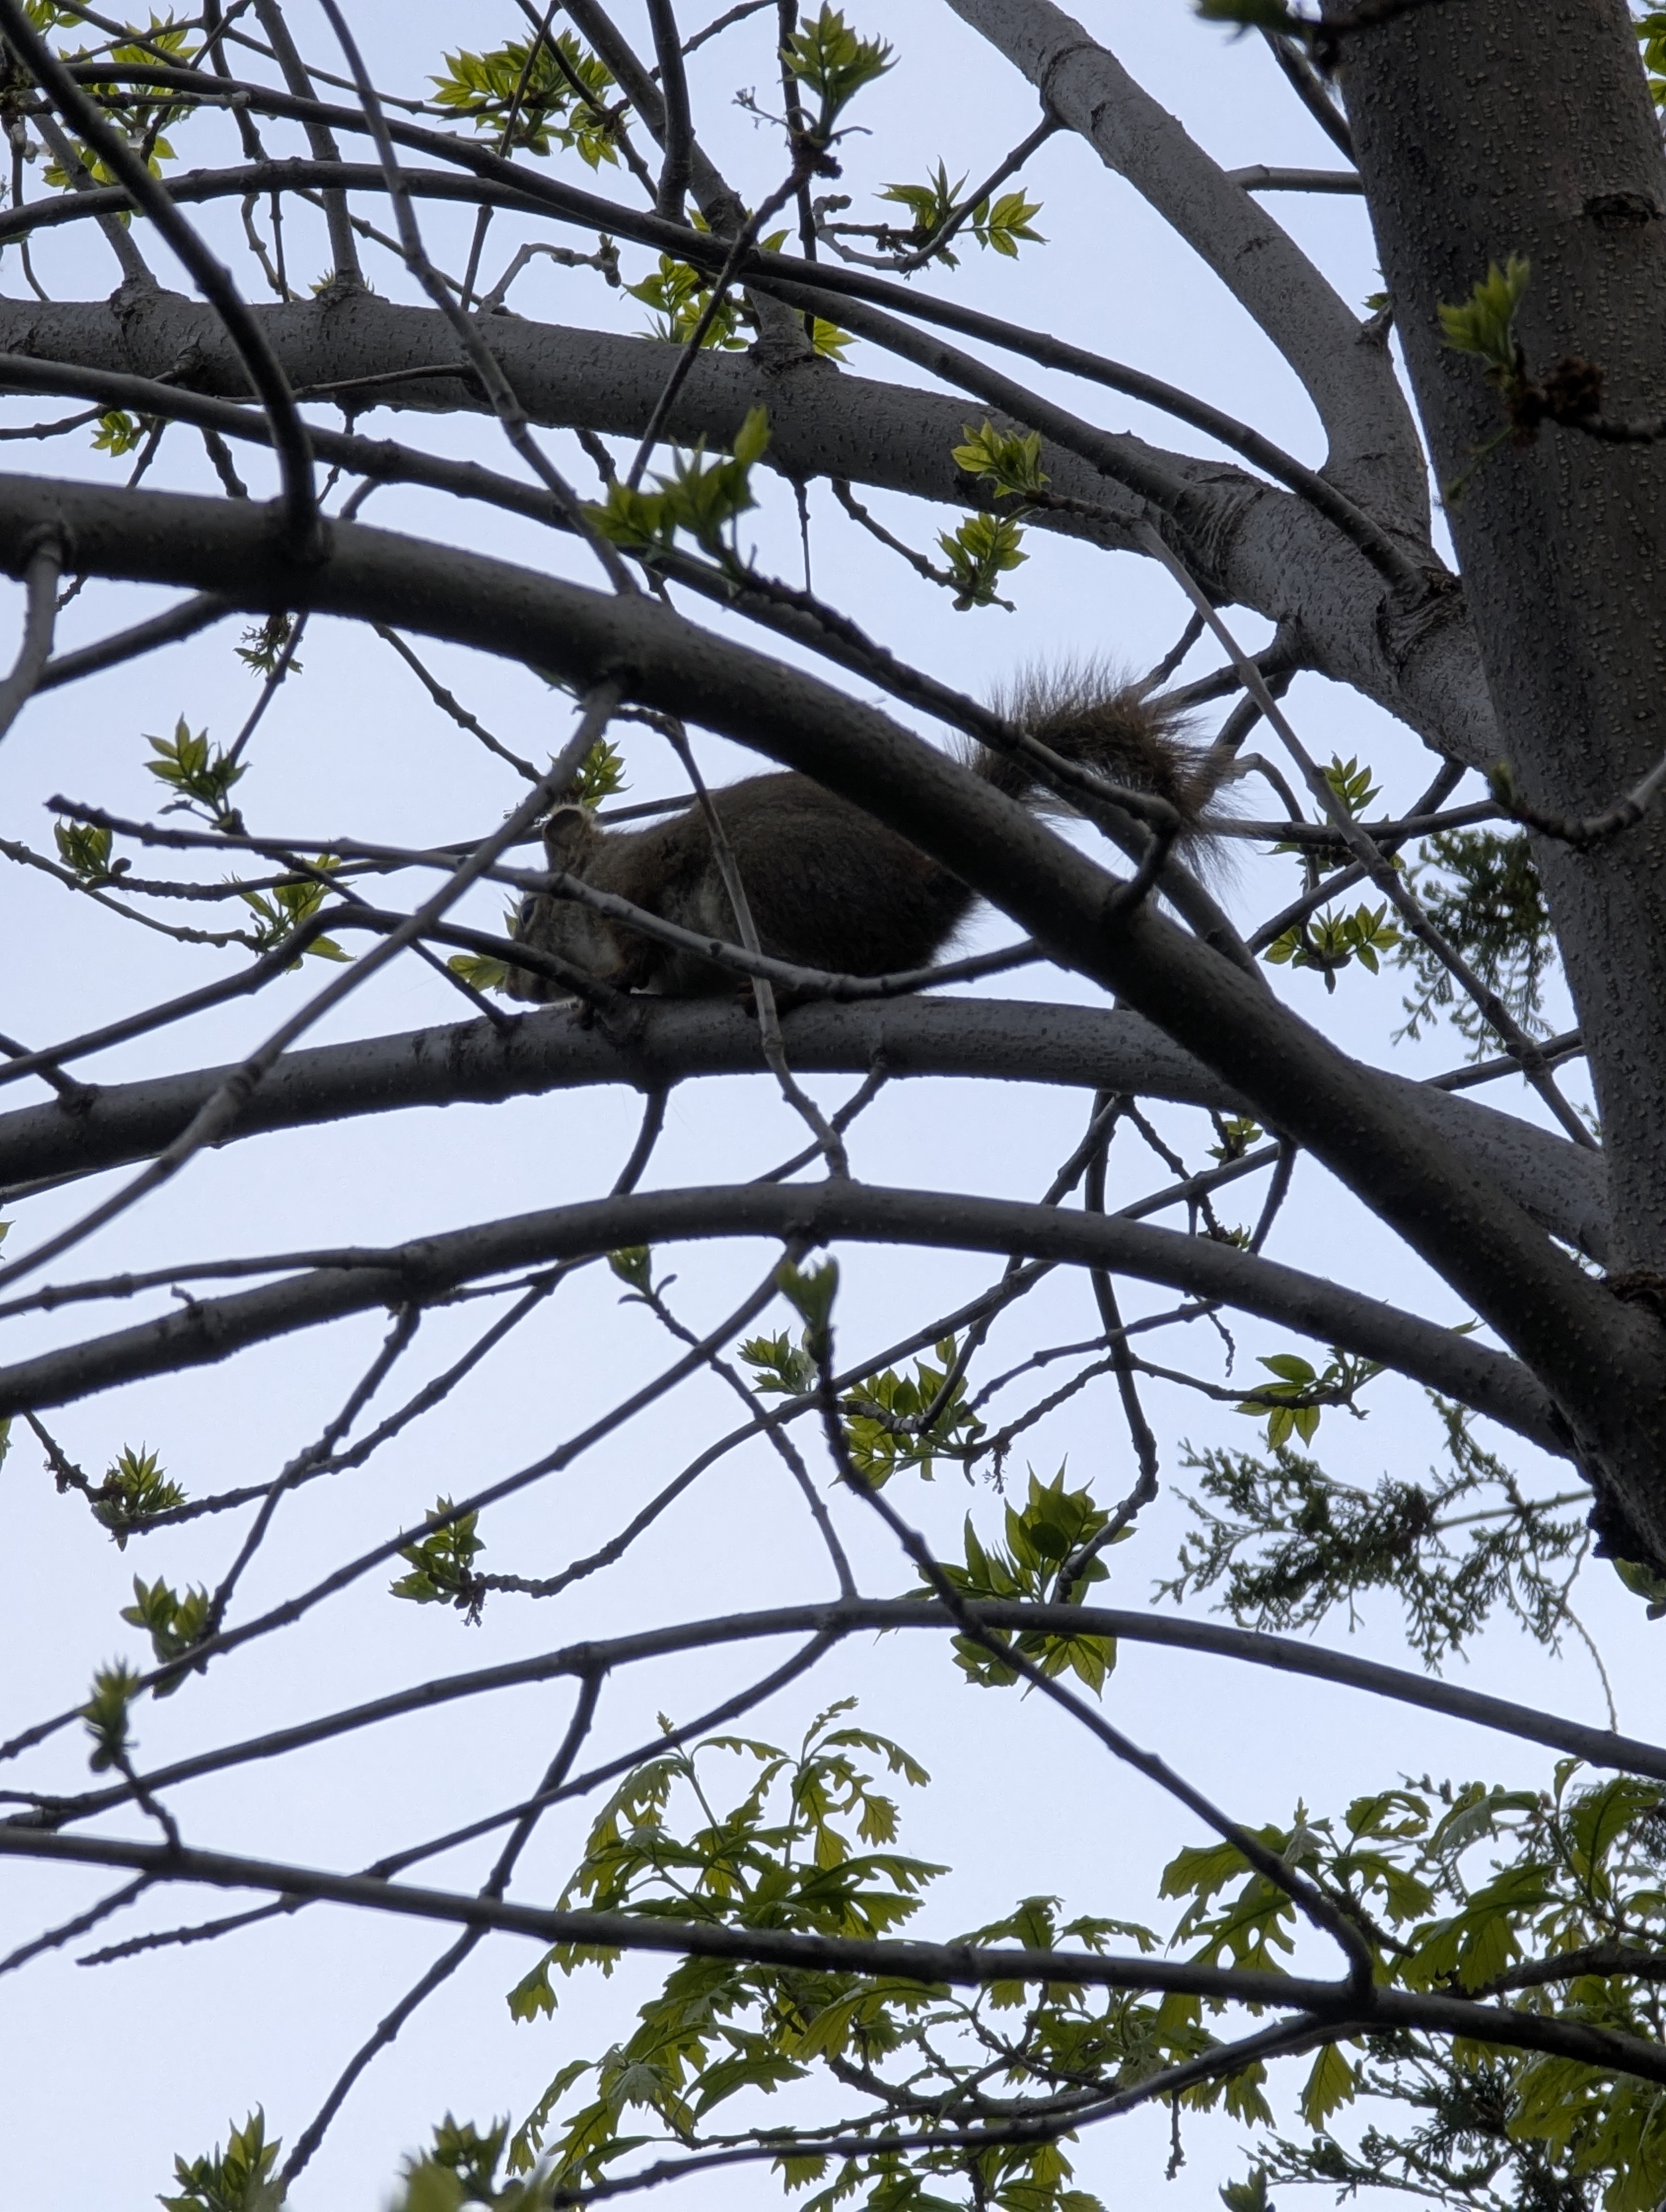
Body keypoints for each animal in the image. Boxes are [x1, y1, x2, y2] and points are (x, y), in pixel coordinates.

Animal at [505, 668, 1219, 1002]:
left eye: (533, 911)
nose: (512, 987)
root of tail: (918, 898)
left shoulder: (635, 881)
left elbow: (636, 946)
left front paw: (612, 983)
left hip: (771, 880)